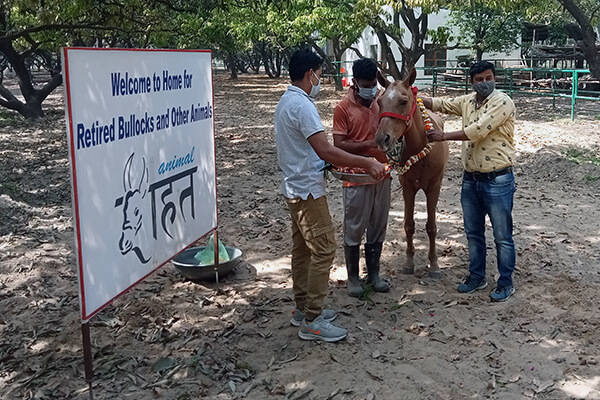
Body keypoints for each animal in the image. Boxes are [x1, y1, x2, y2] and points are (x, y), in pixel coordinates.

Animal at [378, 68, 448, 278]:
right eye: (379, 102)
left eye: (403, 101)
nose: (382, 139)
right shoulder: (408, 189)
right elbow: (409, 225)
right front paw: (409, 262)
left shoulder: (433, 189)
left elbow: (432, 228)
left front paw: (434, 264)